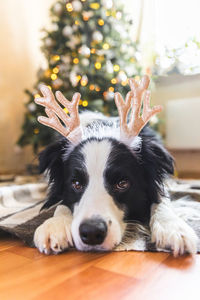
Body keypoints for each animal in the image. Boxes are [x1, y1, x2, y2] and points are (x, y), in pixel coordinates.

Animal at [33, 75, 198, 255]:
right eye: (76, 184)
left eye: (122, 183)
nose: (92, 233)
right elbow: (60, 204)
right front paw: (54, 225)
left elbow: (161, 200)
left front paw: (173, 228)